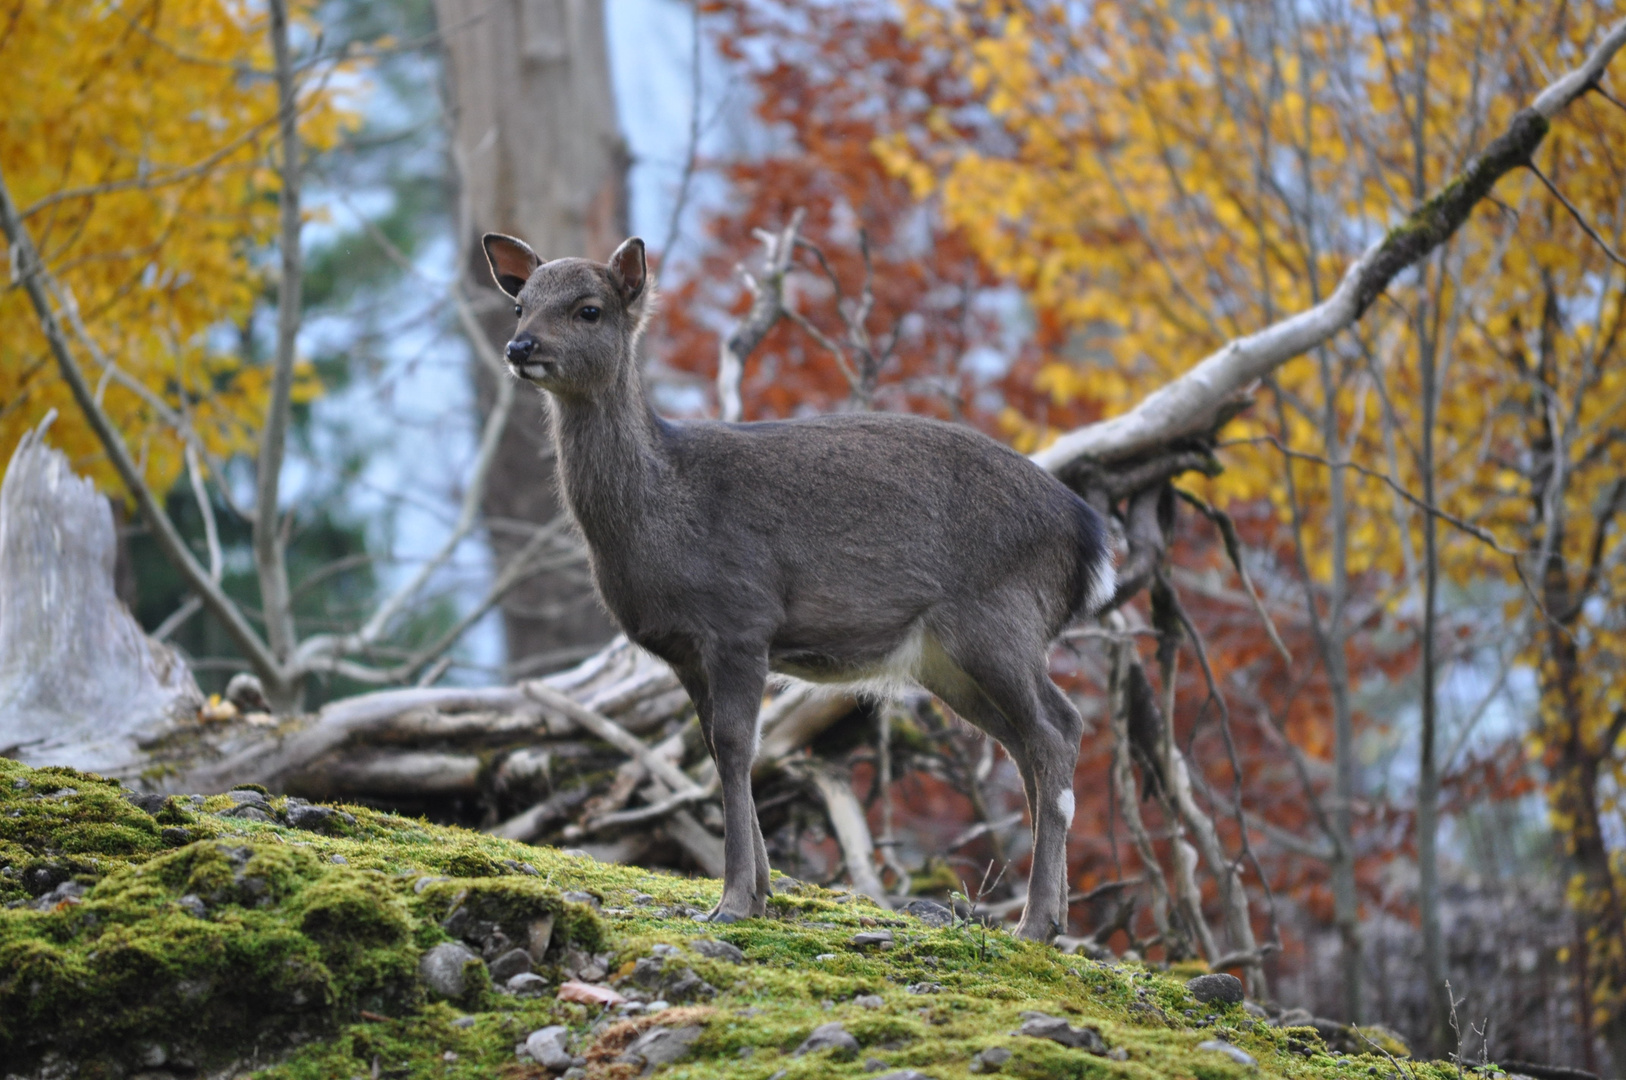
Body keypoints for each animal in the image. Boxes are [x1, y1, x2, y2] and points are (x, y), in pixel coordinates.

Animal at [484, 234, 1118, 936]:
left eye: (588, 309)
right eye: (519, 304)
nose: (520, 348)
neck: (663, 512)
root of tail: (1088, 535)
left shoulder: (741, 618)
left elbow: (736, 746)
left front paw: (733, 901)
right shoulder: (683, 650)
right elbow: (717, 751)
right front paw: (761, 892)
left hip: (999, 617)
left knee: (1056, 730)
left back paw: (1033, 922)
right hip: (946, 659)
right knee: (1027, 743)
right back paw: (1053, 920)